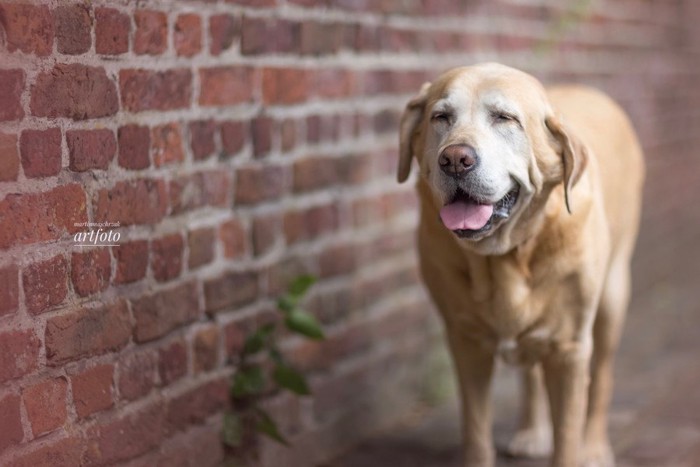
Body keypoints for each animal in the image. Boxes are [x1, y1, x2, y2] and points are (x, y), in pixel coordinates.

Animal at [400, 63, 644, 467]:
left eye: (505, 118)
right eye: (440, 117)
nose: (455, 159)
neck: (505, 256)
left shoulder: (569, 349)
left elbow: (567, 437)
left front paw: (577, 448)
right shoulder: (465, 341)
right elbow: (476, 431)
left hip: (612, 296)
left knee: (602, 374)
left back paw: (595, 447)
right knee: (530, 370)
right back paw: (531, 432)